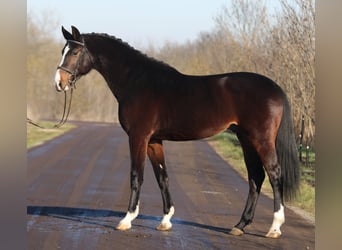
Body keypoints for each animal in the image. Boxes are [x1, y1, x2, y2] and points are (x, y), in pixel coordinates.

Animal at [54, 25, 300, 238]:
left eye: (74, 51)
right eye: (63, 51)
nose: (59, 82)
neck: (137, 82)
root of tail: (276, 88)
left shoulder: (138, 137)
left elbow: (136, 175)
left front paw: (127, 219)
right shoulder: (154, 140)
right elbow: (162, 177)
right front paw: (165, 220)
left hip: (261, 139)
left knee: (274, 174)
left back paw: (274, 227)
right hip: (246, 139)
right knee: (256, 177)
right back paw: (240, 225)